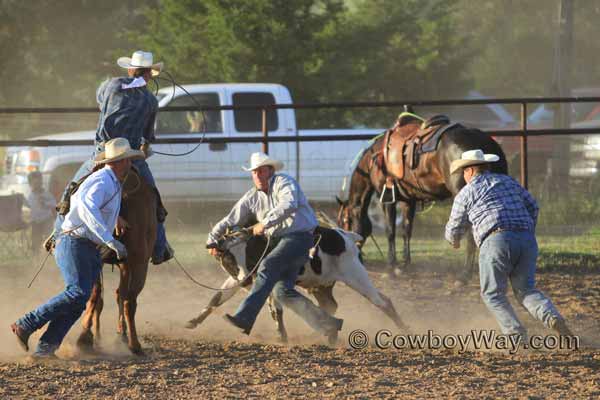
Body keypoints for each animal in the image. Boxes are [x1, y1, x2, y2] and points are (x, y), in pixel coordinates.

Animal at [75, 170, 157, 354]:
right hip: (140, 263)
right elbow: (120, 295)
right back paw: (134, 344)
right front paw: (121, 334)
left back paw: (86, 337)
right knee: (129, 301)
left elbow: (109, 295)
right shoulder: (130, 263)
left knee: (97, 296)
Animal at [185, 227, 408, 342]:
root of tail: (346, 236)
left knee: (382, 302)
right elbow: (216, 299)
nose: (246, 280)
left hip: (355, 276)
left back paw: (405, 329)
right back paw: (326, 331)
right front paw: (193, 322)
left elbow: (276, 310)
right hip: (322, 285)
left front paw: (281, 336)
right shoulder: (236, 278)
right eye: (227, 260)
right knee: (331, 305)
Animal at [338, 112, 506, 282]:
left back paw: (464, 274)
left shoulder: (386, 198)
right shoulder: (408, 201)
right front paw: (405, 265)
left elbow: (390, 231)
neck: (376, 159)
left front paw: (391, 267)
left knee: (472, 232)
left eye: (345, 222)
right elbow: (406, 230)